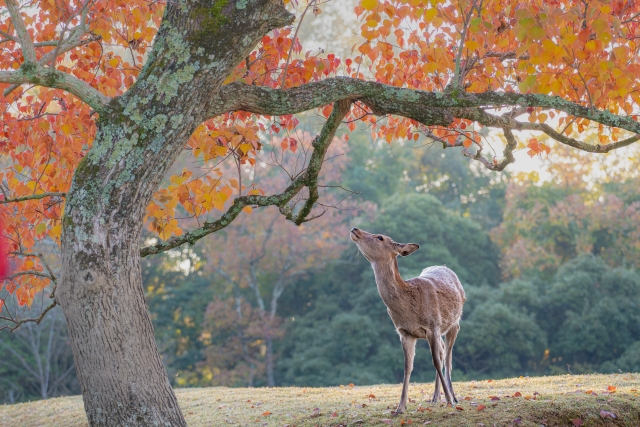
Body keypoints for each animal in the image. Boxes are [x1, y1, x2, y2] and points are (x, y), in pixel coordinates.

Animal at [350, 229, 464, 412]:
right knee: (442, 352)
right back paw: (434, 397)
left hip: (454, 323)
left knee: (448, 358)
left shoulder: (432, 326)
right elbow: (407, 367)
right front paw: (400, 407)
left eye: (380, 237)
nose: (355, 230)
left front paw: (449, 401)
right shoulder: (404, 332)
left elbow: (435, 362)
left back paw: (452, 396)